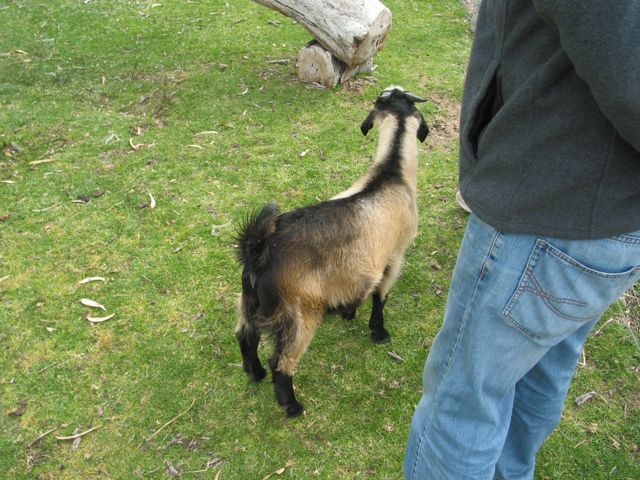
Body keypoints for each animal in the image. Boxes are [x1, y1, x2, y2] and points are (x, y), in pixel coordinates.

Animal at [232, 86, 428, 416]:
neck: (392, 173)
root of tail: (259, 251)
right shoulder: (394, 256)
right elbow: (380, 296)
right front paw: (379, 333)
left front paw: (348, 311)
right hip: (301, 312)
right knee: (281, 361)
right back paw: (292, 406)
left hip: (249, 300)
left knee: (246, 336)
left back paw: (254, 373)